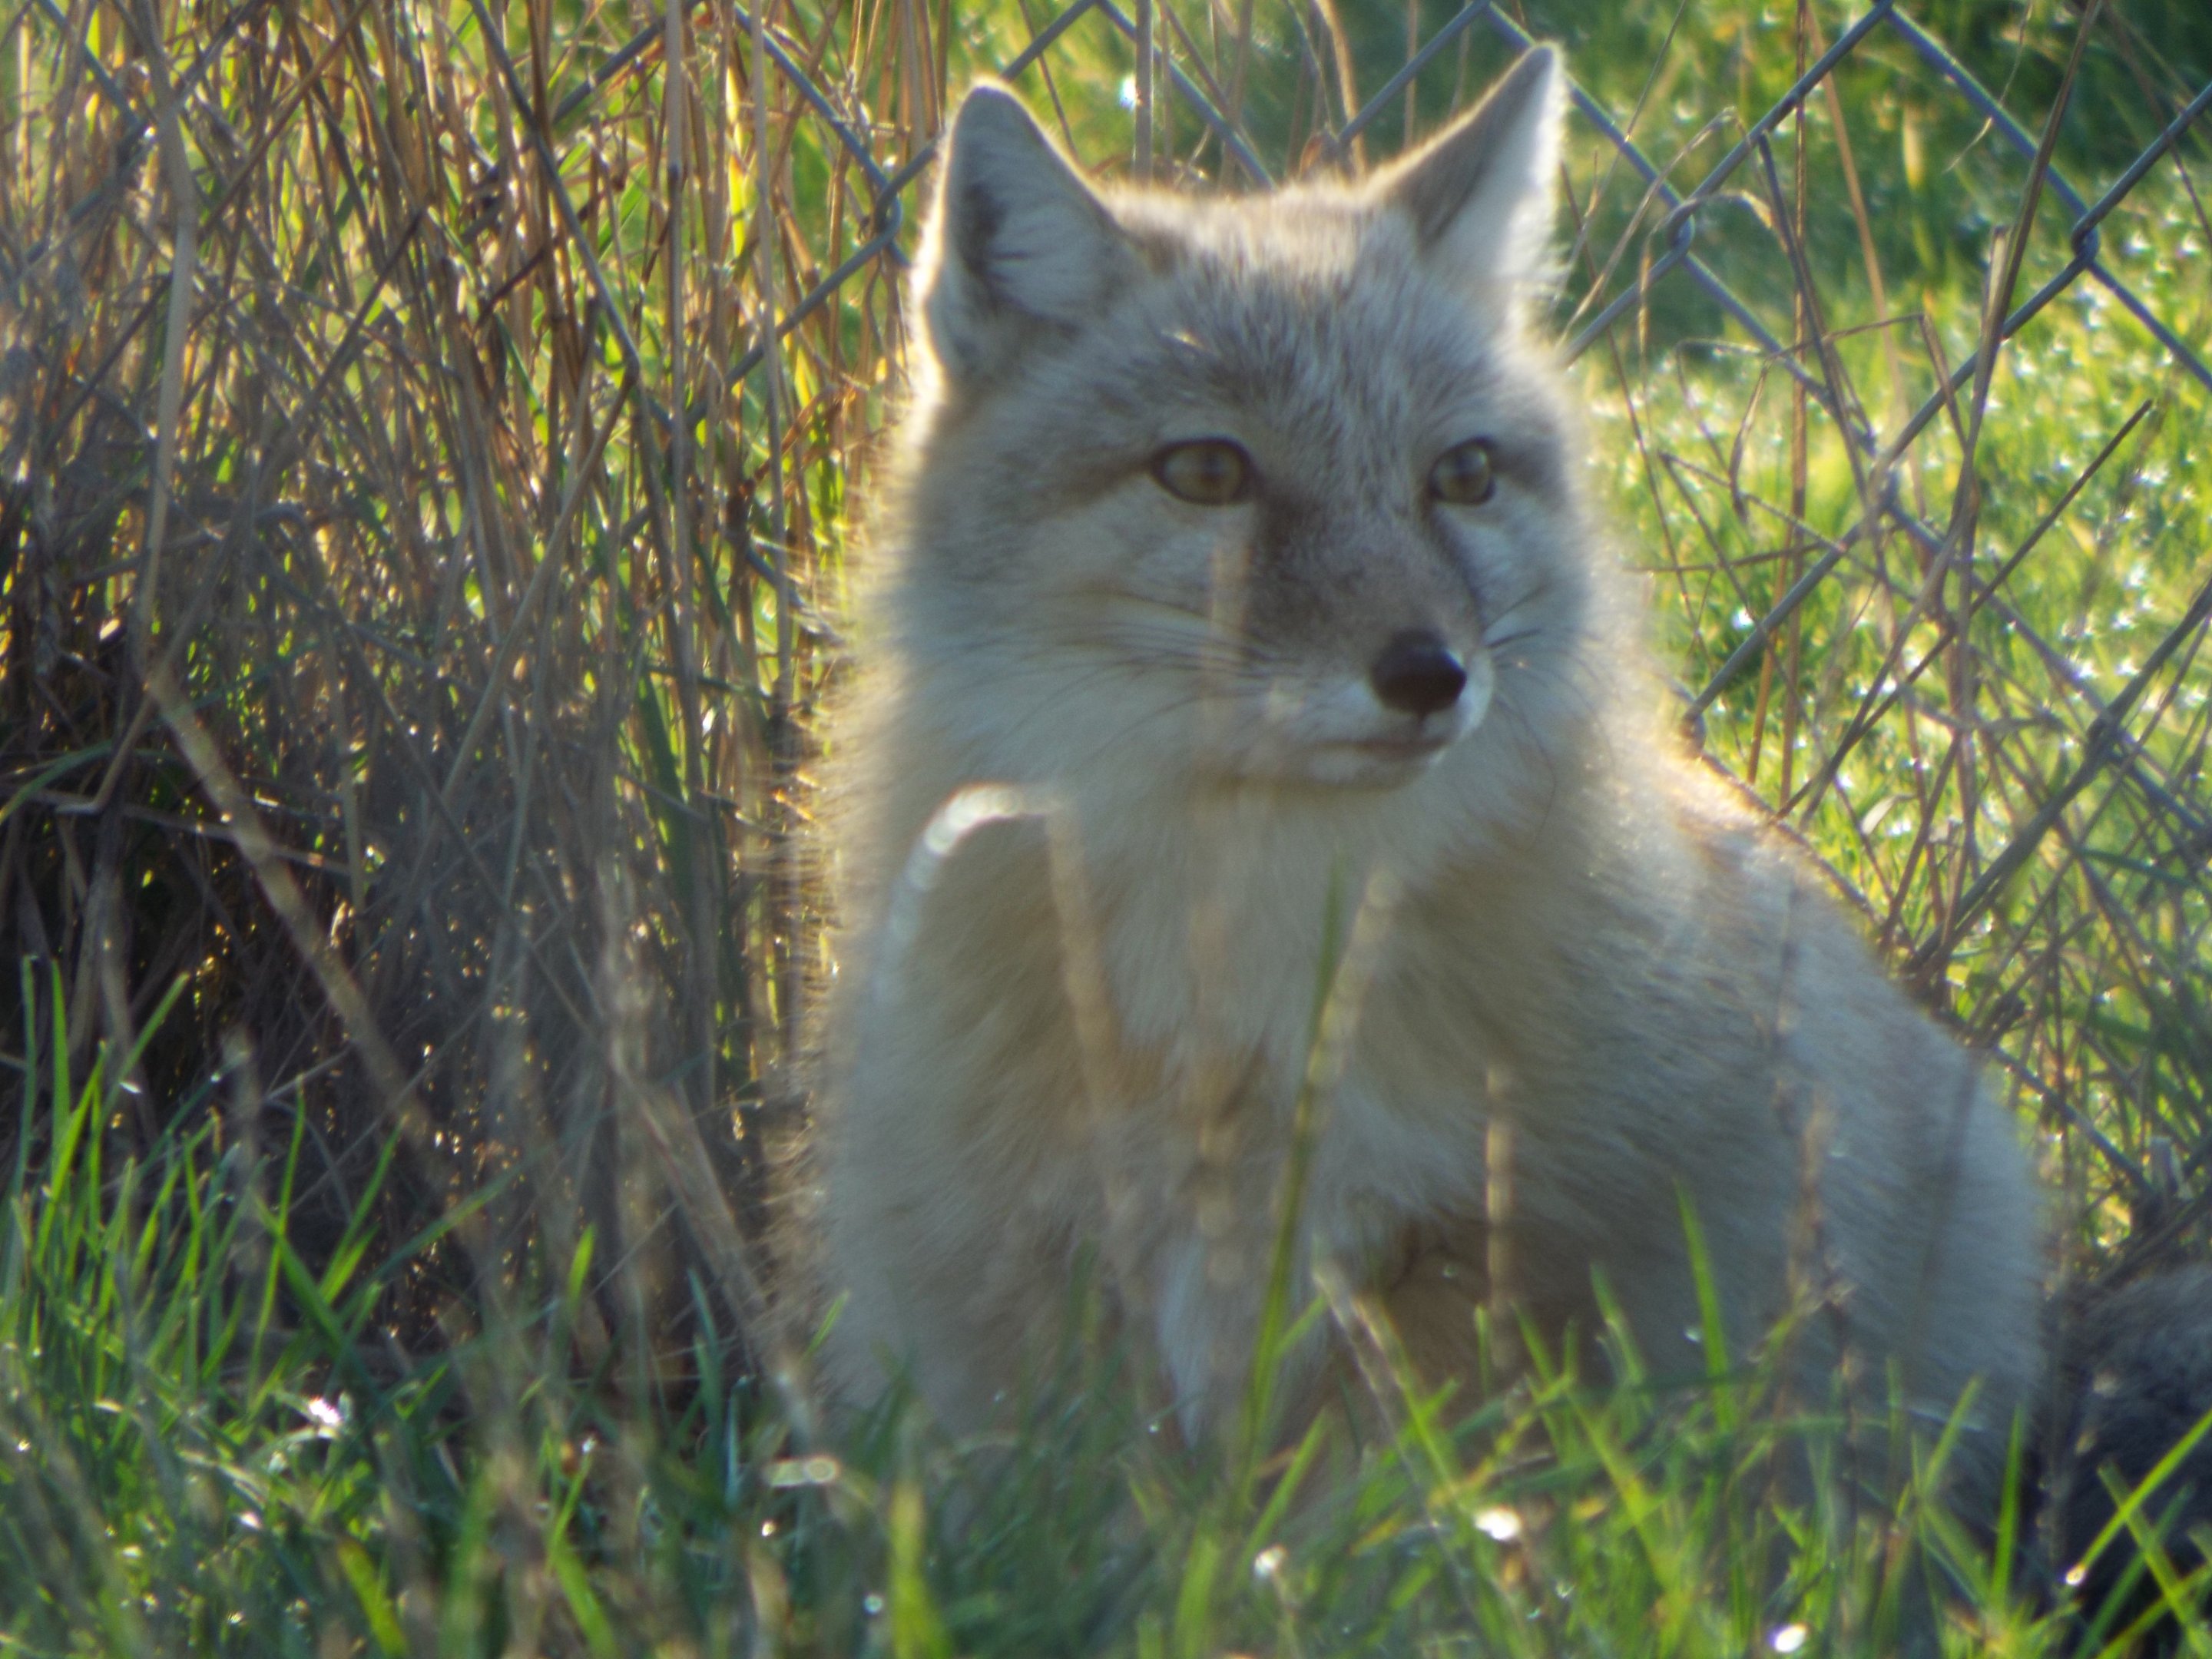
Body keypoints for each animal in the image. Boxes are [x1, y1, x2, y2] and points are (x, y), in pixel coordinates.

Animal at [813, 45, 2049, 1515]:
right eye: (1206, 471)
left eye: (1460, 476)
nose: (1429, 674)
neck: (1243, 988)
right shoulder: (1048, 1271)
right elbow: (1136, 1527)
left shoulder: (1504, 1250)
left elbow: (1406, 1522)